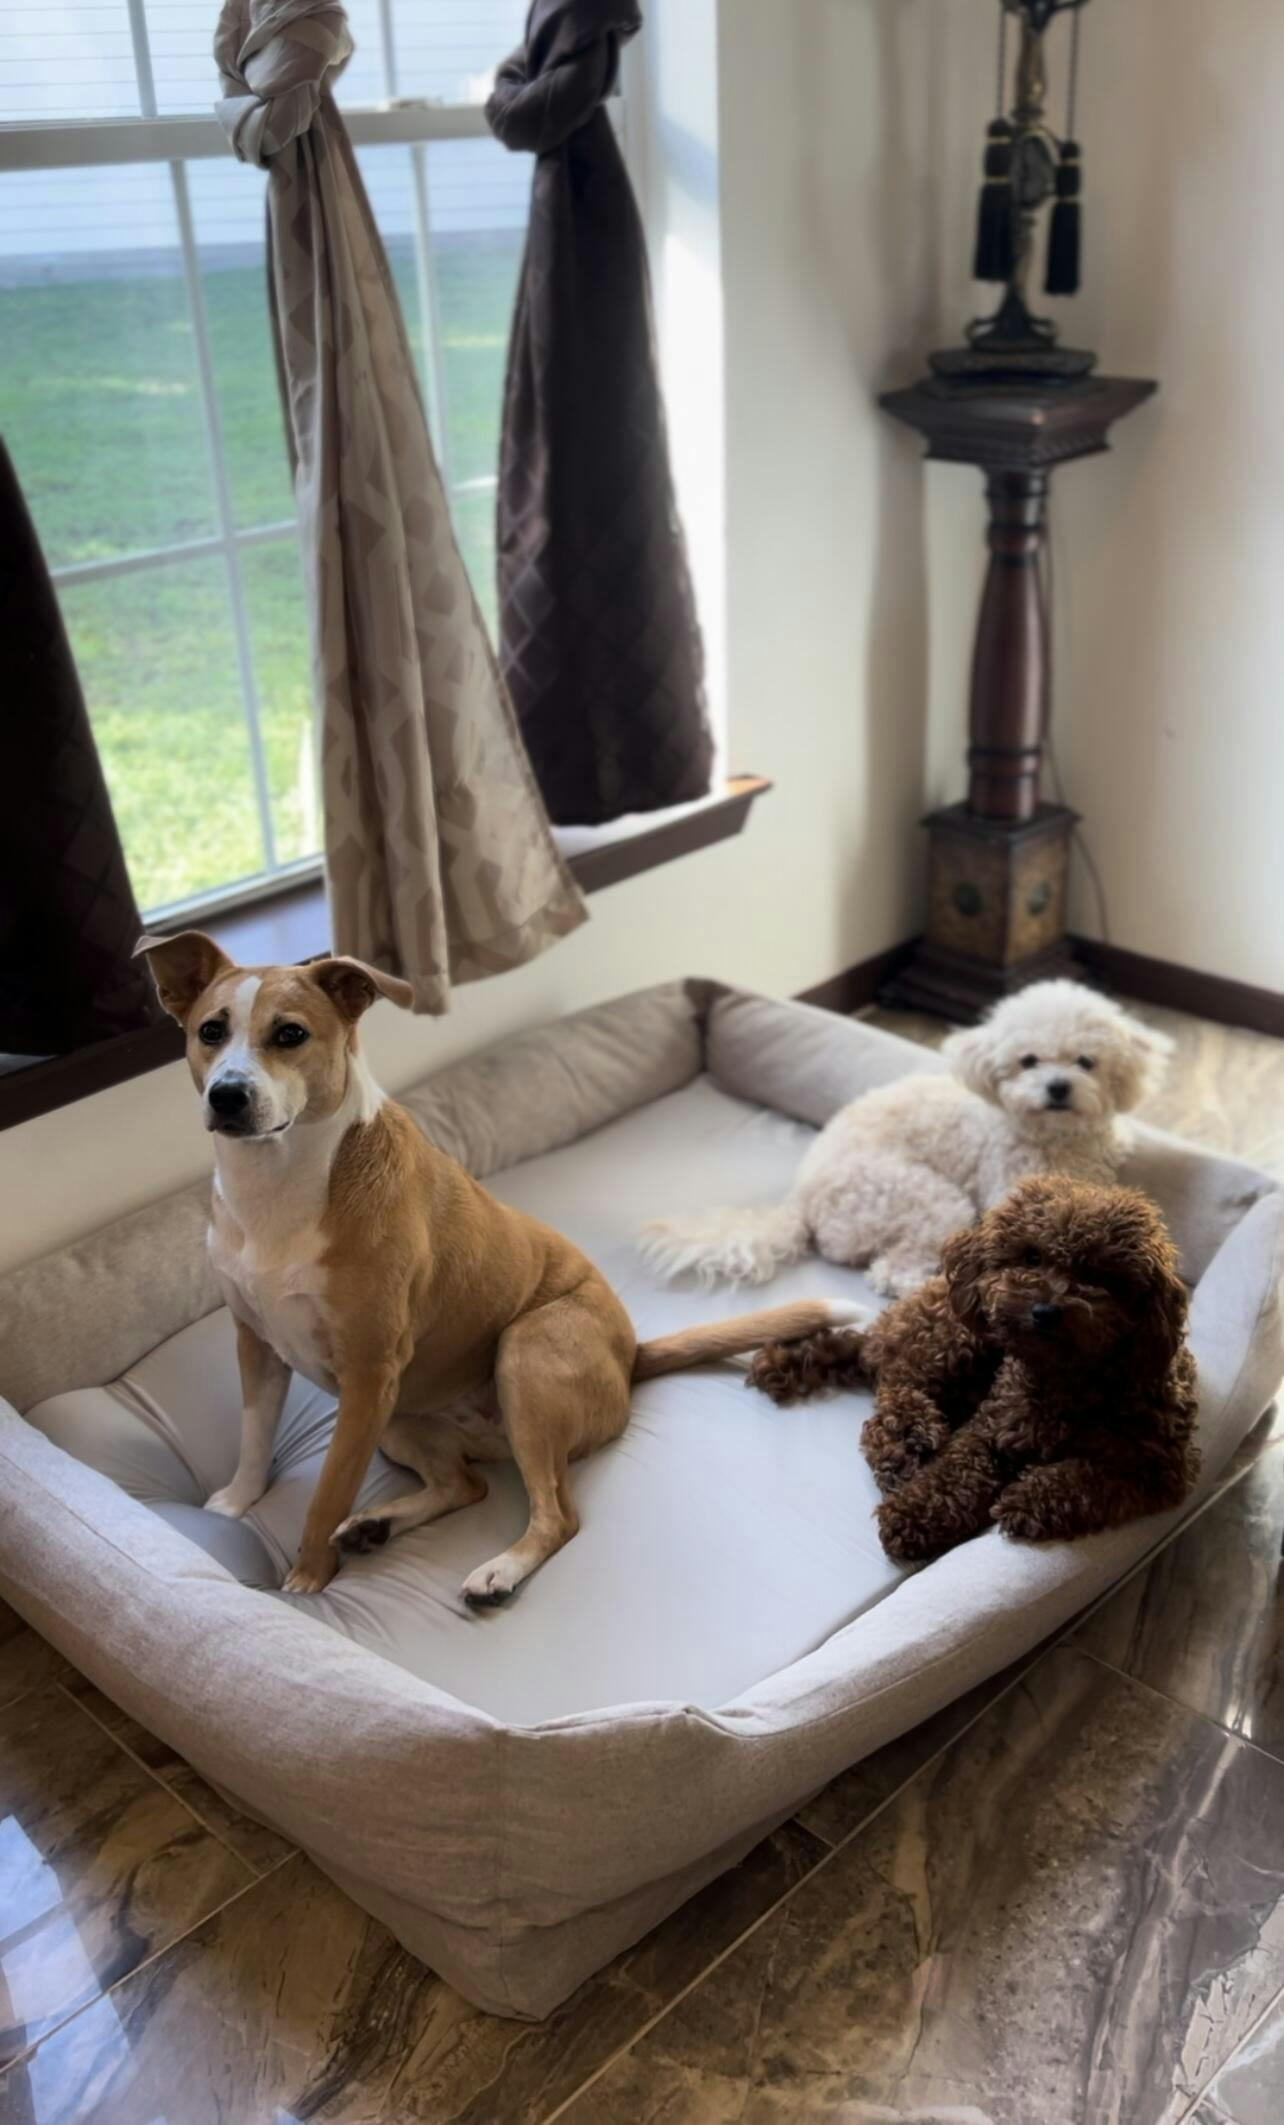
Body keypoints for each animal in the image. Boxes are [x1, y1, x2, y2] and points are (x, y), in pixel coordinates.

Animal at [138, 939, 854, 1598]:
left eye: (290, 1034)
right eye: (210, 1031)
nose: (229, 1096)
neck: (279, 1183)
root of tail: (631, 1354)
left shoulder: (368, 1373)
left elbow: (328, 1492)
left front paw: (309, 1577)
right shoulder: (259, 1345)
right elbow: (254, 1437)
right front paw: (238, 1500)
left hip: (522, 1354)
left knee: (558, 1515)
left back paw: (500, 1568)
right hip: (400, 1419)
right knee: (468, 1485)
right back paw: (378, 1525)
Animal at [642, 977, 1173, 1292]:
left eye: (1086, 1061)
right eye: (1028, 1061)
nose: (1058, 1087)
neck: (1054, 1136)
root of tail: (801, 1200)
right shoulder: (1005, 1189)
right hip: (925, 1199)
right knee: (892, 1272)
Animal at [748, 1181, 1198, 1564]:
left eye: (1099, 1276)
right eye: (1032, 1257)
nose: (1045, 1311)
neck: (1062, 1378)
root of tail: (878, 1332)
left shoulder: (1160, 1470)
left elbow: (1087, 1480)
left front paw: (1028, 1499)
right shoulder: (990, 1429)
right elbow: (954, 1473)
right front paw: (912, 1517)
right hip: (956, 1336)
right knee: (894, 1390)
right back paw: (909, 1439)